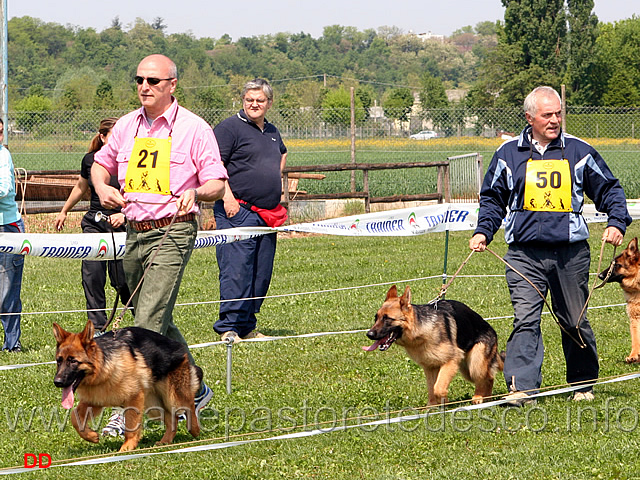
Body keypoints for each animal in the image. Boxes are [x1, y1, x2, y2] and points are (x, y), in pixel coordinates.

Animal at [53, 320, 202, 452]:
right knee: (172, 419)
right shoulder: (95, 401)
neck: (103, 370)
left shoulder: (133, 398)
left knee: (189, 405)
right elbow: (74, 416)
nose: (57, 382)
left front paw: (127, 447)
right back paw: (165, 441)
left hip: (173, 397)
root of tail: (178, 345)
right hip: (153, 405)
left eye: (73, 361)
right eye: (59, 361)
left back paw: (195, 430)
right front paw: (90, 436)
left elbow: (131, 426)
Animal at [362, 284, 502, 404]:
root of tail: (492, 330)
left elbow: (438, 388)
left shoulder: (450, 361)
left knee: (487, 378)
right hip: (466, 369)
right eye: (376, 318)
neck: (421, 331)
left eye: (387, 319)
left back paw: (480, 397)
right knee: (489, 377)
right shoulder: (430, 367)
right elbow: (431, 389)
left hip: (475, 365)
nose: (369, 334)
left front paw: (444, 401)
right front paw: (432, 407)